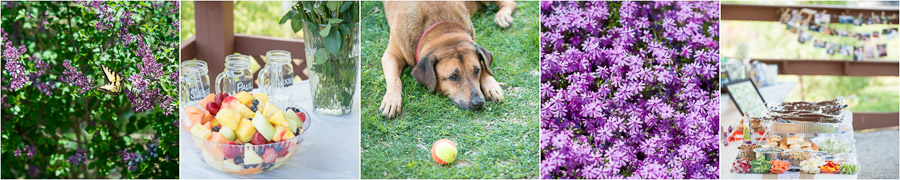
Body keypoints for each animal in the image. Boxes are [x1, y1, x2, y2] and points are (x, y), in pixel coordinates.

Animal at [378, 1, 512, 118]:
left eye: (476, 71)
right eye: (453, 77)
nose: (478, 102)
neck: (441, 29)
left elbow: (485, 65)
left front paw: (491, 85)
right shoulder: (391, 55)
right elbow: (395, 80)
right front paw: (391, 99)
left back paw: (502, 16)